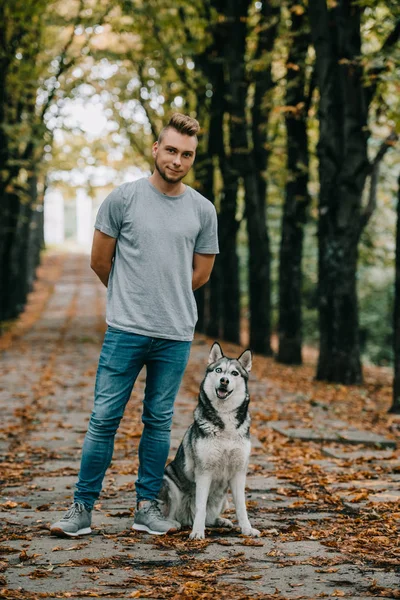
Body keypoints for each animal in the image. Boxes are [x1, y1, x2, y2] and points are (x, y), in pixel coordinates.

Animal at [158, 342, 260, 540]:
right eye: (219, 370)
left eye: (234, 373)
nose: (224, 380)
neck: (225, 420)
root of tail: (185, 519)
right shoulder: (204, 472)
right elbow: (200, 507)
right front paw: (197, 532)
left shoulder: (238, 472)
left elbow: (241, 507)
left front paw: (247, 529)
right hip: (170, 485)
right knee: (174, 514)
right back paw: (175, 524)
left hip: (224, 499)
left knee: (211, 517)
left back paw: (221, 521)